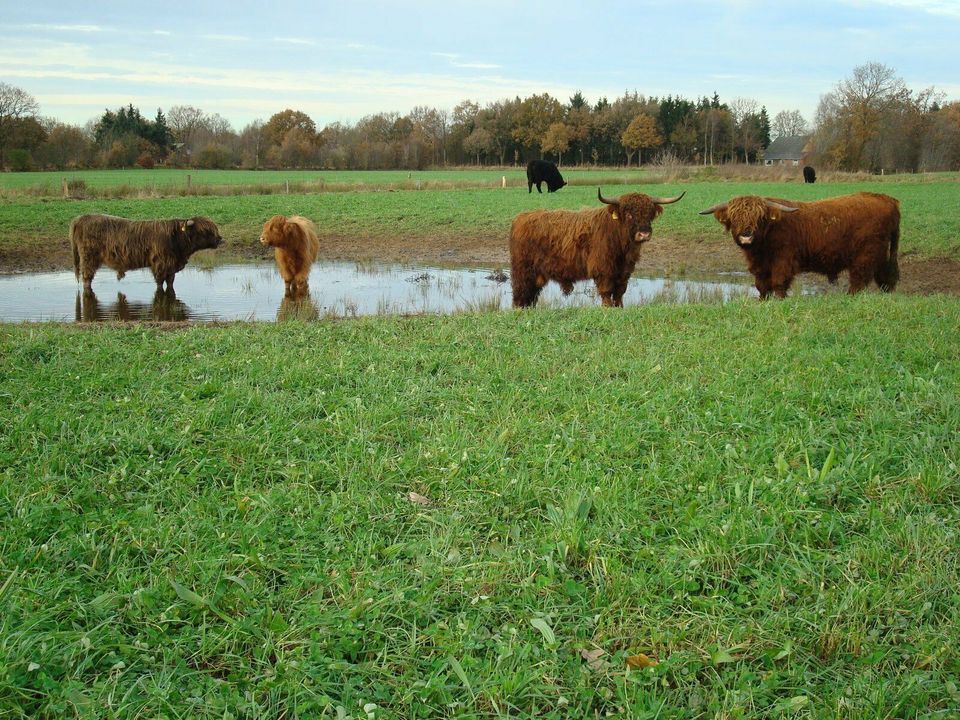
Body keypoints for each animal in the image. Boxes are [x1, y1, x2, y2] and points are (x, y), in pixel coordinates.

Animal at [70, 212, 223, 292]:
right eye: (205, 231)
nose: (220, 239)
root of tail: (82, 218)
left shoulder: (171, 266)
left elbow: (170, 282)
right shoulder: (160, 264)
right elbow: (160, 283)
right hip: (88, 258)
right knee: (87, 278)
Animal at [510, 187, 684, 306]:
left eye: (649, 214)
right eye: (629, 214)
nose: (644, 234)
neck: (622, 247)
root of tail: (521, 218)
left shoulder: (625, 272)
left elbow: (619, 293)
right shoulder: (603, 269)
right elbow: (607, 293)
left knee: (530, 298)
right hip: (523, 271)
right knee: (519, 296)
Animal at [696, 191, 900, 298]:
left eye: (760, 218)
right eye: (735, 218)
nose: (746, 236)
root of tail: (886, 199)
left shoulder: (783, 261)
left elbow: (778, 283)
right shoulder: (760, 266)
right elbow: (762, 286)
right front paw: (762, 301)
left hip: (865, 256)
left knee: (859, 281)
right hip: (882, 254)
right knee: (885, 279)